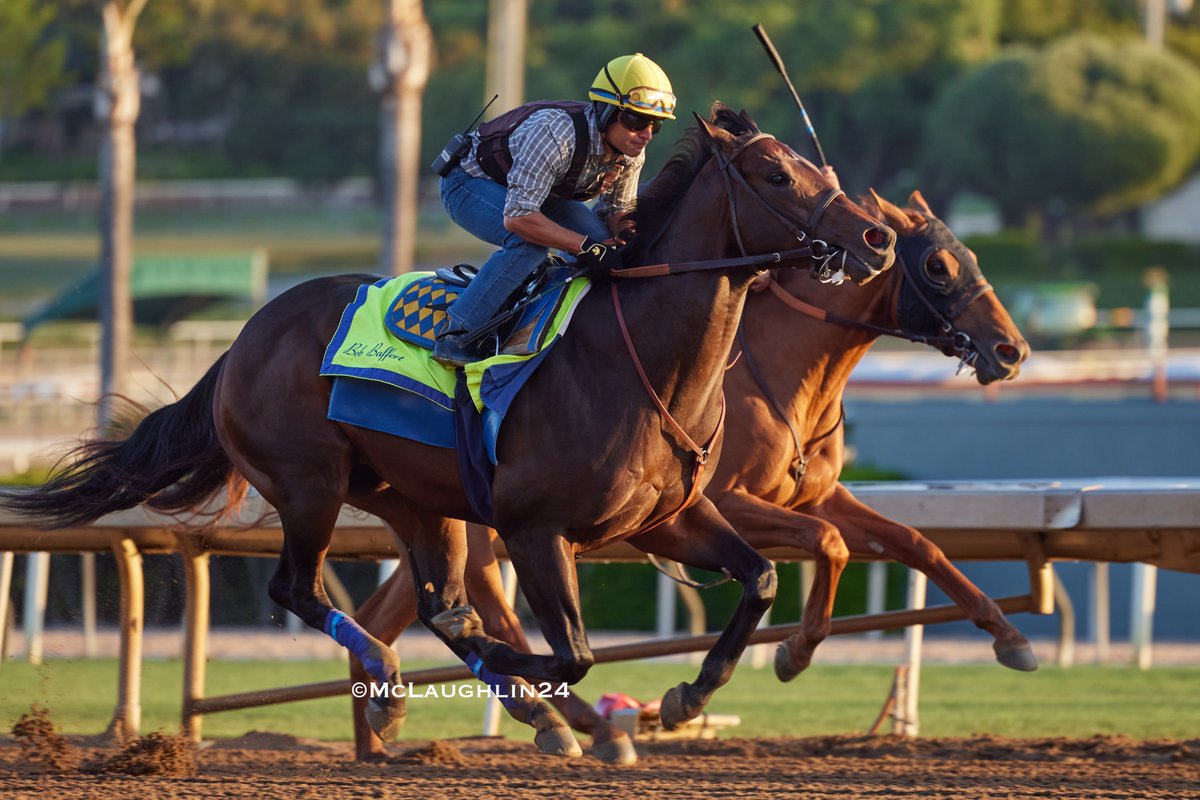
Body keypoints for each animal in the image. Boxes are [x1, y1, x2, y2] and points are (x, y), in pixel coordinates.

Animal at [4, 104, 897, 758]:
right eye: (778, 173)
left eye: (821, 170)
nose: (878, 236)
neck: (634, 354)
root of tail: (245, 339)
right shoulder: (537, 529)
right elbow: (572, 650)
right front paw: (578, 700)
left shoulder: (664, 520)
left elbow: (761, 579)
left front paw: (685, 695)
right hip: (311, 484)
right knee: (300, 589)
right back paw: (406, 688)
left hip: (415, 499)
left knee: (439, 605)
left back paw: (486, 706)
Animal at [345, 185, 1032, 762]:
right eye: (939, 266)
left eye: (970, 256)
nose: (1011, 350)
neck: (778, 370)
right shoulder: (732, 499)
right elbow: (830, 544)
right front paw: (794, 651)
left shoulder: (816, 494)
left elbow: (913, 541)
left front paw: (1007, 635)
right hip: (491, 523)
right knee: (485, 609)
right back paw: (578, 726)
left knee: (395, 613)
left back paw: (380, 733)